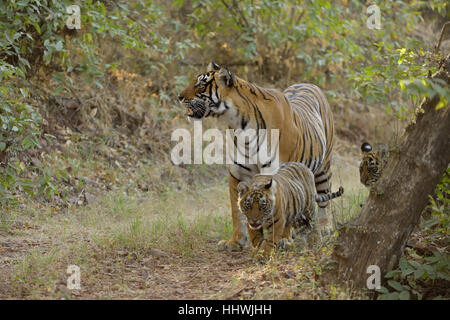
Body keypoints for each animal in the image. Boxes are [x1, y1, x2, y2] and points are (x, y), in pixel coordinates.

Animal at [178, 62, 336, 252]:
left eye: (201, 84)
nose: (179, 97)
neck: (238, 124)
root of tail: (308, 83)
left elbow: (286, 205)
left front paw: (284, 239)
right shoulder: (238, 174)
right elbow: (237, 211)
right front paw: (235, 242)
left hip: (323, 167)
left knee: (325, 197)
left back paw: (325, 227)